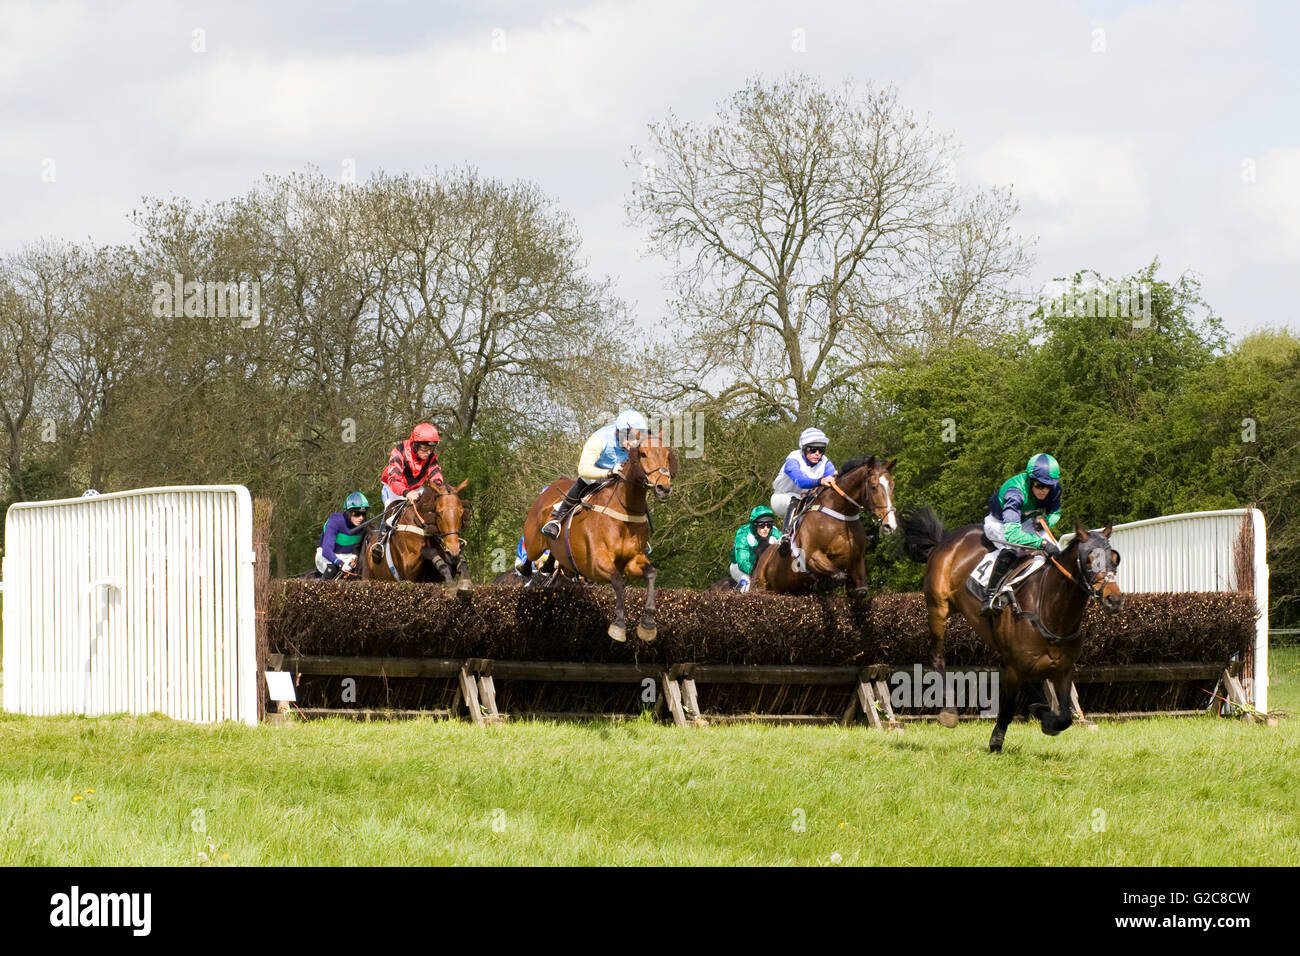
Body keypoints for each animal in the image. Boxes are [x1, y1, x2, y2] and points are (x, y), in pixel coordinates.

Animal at [517, 439, 681, 647]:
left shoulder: (633, 561)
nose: (664, 488)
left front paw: (648, 625)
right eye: (643, 454)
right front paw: (618, 626)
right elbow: (618, 581)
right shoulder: (596, 563)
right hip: (533, 543)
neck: (625, 510)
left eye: (667, 455)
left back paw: (547, 568)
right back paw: (527, 569)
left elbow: (651, 573)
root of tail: (552, 486)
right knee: (529, 557)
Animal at [754, 455, 894, 598]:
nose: (890, 525)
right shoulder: (811, 555)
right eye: (873, 486)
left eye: (892, 486)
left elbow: (860, 590)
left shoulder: (857, 561)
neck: (841, 515)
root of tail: (764, 555)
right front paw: (824, 583)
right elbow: (839, 576)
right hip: (759, 585)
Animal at [899, 509, 1123, 754]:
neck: (1051, 613)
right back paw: (949, 711)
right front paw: (996, 742)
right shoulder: (1017, 669)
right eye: (1089, 559)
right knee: (937, 655)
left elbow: (1065, 717)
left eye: (1115, 559)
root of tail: (946, 540)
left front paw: (1048, 719)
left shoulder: (1063, 669)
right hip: (938, 607)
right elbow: (1007, 710)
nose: (1114, 599)